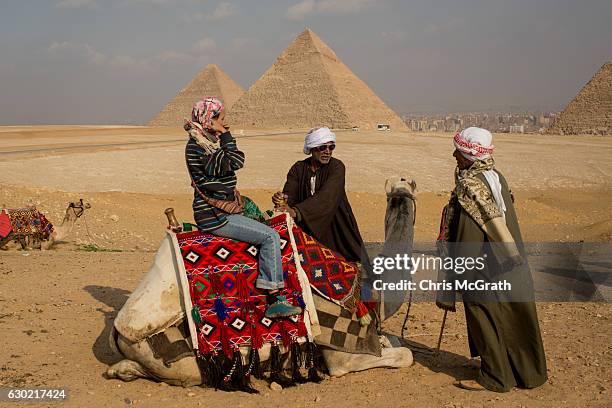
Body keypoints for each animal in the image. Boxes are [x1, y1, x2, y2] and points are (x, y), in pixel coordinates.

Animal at [107, 180, 418, 388]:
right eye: (393, 198)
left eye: (407, 196)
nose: (402, 194)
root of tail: (118, 331)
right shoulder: (340, 347)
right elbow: (405, 355)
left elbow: (393, 341)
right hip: (181, 360)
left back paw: (118, 370)